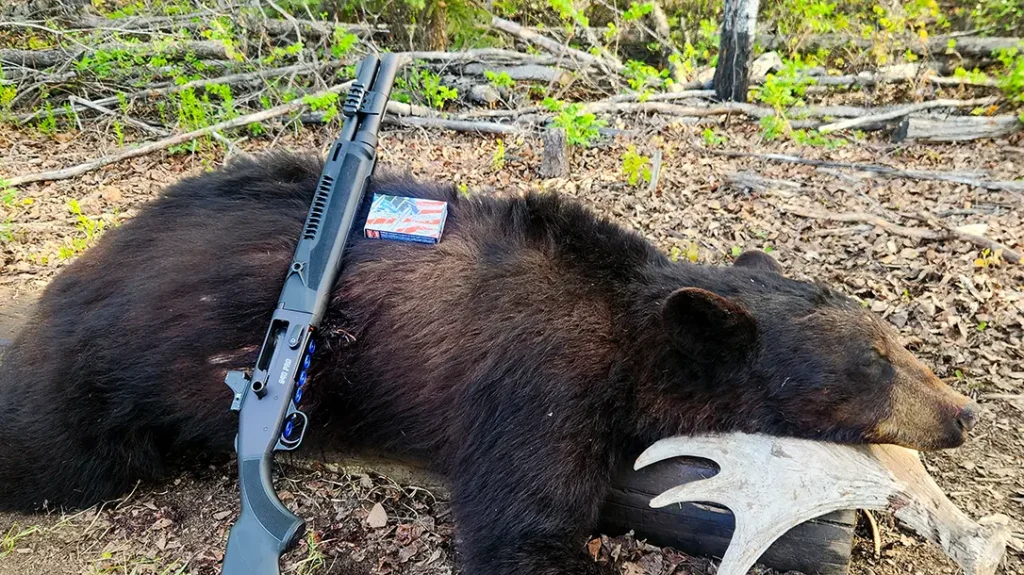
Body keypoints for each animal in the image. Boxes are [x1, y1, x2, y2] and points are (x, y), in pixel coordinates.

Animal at [0, 151, 979, 575]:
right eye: (876, 359)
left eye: (896, 341)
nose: (964, 412)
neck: (628, 326)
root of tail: (90, 262)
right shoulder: (535, 382)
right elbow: (523, 529)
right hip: (108, 375)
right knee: (53, 451)